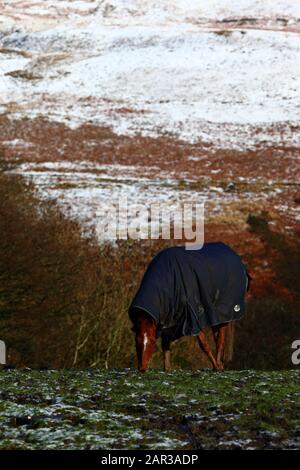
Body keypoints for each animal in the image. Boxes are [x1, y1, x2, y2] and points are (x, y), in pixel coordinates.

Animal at [129, 242, 251, 370]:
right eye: (136, 340)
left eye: (152, 340)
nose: (142, 368)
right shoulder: (169, 321)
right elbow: (165, 343)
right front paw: (167, 369)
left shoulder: (194, 317)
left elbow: (203, 344)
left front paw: (215, 366)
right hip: (215, 314)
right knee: (217, 335)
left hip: (225, 312)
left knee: (220, 338)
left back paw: (218, 364)